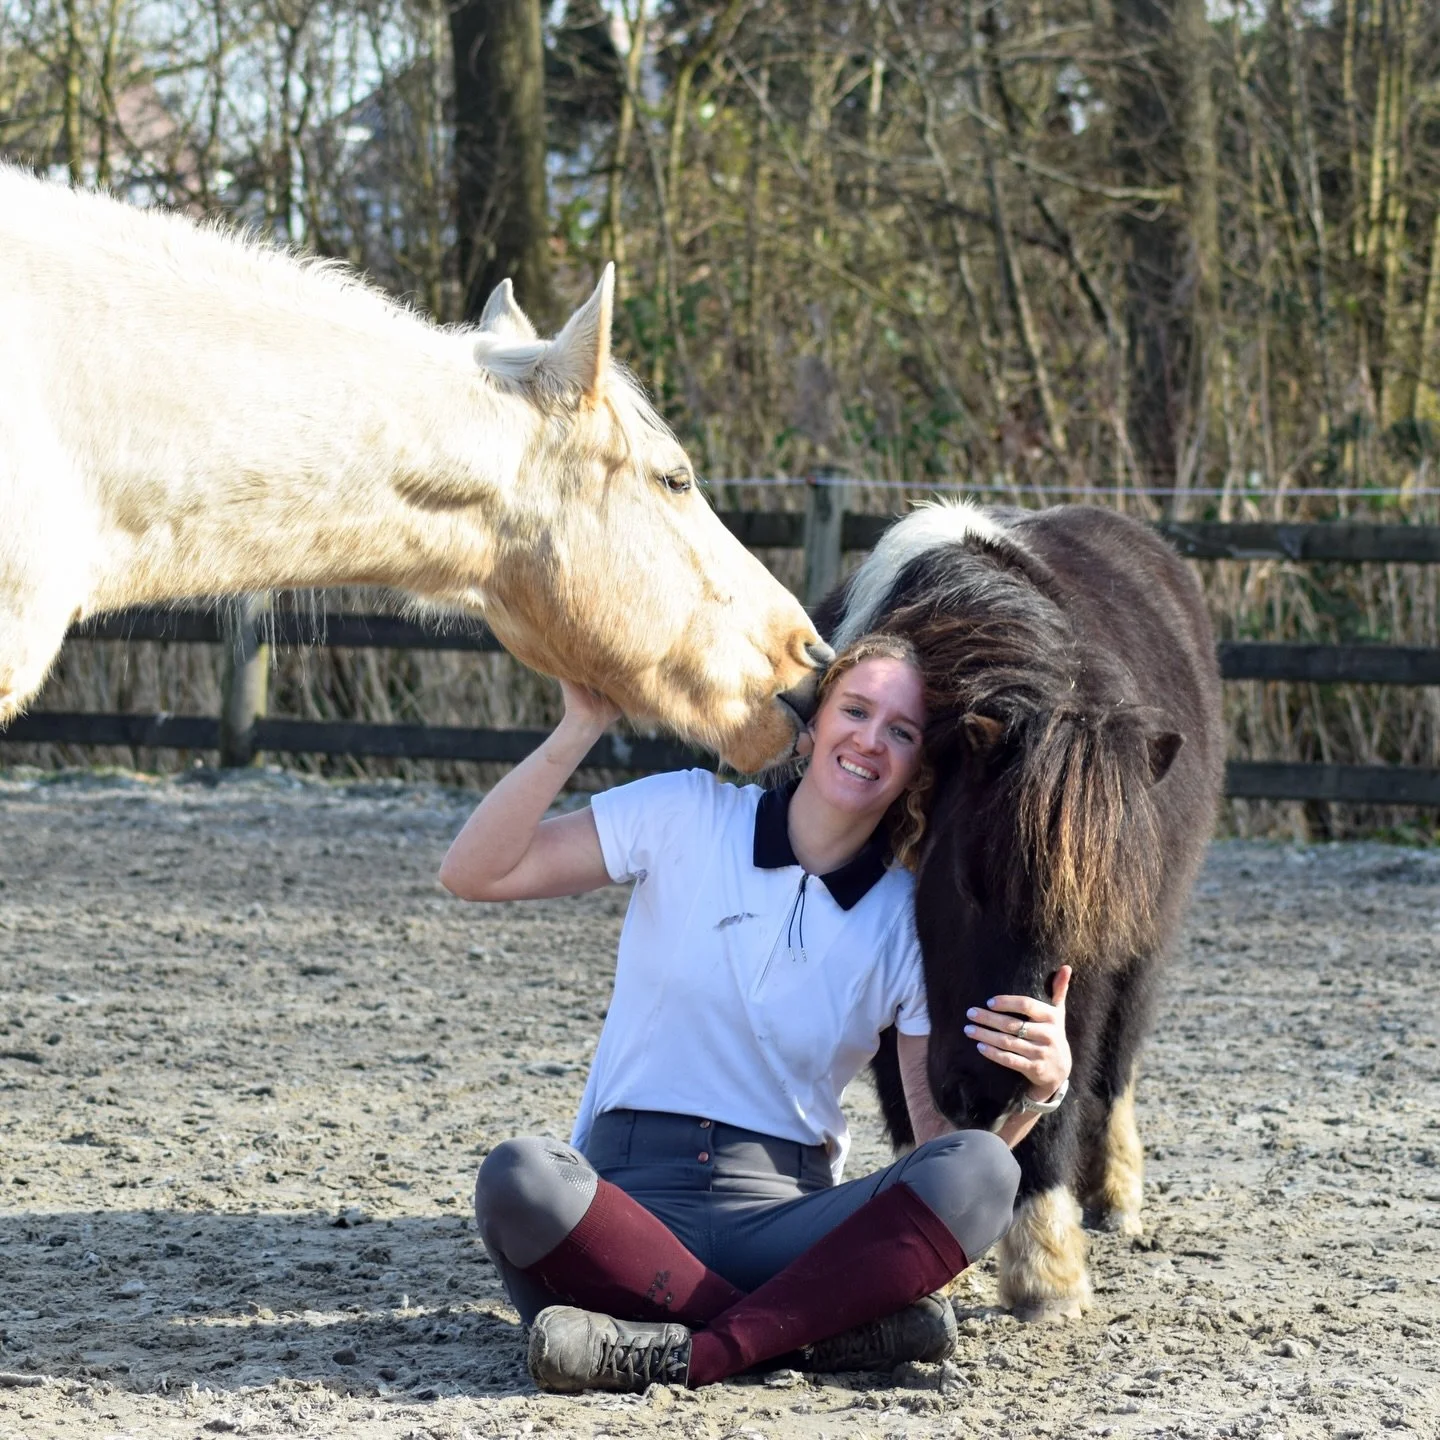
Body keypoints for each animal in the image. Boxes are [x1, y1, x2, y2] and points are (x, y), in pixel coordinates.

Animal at [819, 501, 1224, 1321]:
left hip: (1146, 953)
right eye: (967, 883)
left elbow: (1066, 1094)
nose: (987, 1095)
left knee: (1115, 1066)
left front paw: (1047, 1274)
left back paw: (1114, 1195)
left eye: (1087, 913)